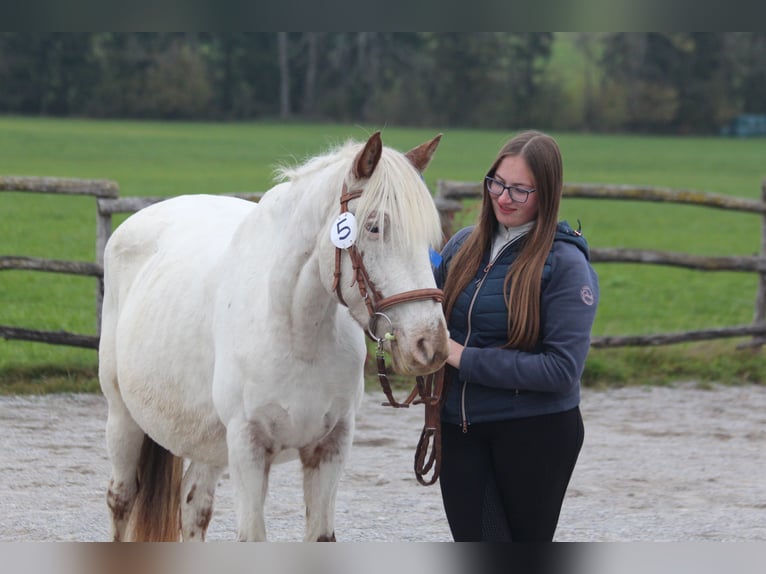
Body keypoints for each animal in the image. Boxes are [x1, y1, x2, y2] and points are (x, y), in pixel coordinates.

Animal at [98, 131, 449, 542]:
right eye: (374, 227)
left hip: (210, 442)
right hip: (123, 418)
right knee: (121, 499)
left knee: (193, 505)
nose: (430, 344)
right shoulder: (248, 446)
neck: (298, 334)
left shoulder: (330, 447)